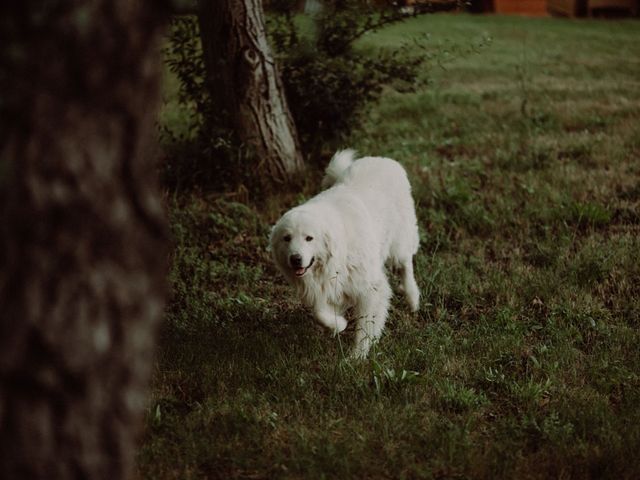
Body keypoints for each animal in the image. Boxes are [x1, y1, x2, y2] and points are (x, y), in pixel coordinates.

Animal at [270, 149, 420, 356]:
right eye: (287, 238)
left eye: (309, 238)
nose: (296, 259)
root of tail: (384, 159)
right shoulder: (323, 287)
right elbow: (319, 313)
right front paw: (338, 325)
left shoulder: (371, 288)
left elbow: (366, 325)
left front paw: (358, 355)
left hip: (399, 244)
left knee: (406, 266)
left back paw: (413, 299)